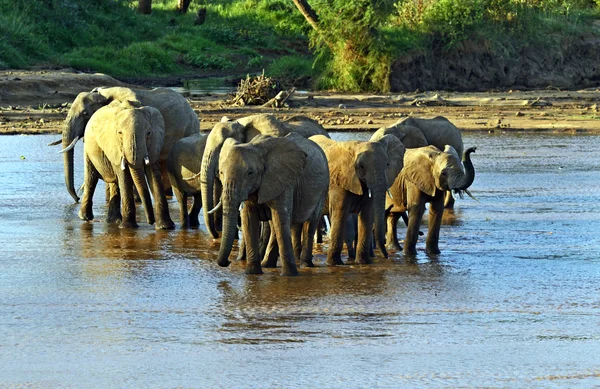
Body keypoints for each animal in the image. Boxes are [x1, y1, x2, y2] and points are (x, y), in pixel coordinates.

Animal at [78, 98, 175, 229]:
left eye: (148, 133)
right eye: (120, 133)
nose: (151, 221)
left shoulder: (154, 144)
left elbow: (153, 175)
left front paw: (166, 227)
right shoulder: (114, 145)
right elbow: (124, 176)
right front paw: (128, 227)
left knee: (114, 182)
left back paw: (114, 221)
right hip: (88, 148)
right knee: (91, 179)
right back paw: (85, 217)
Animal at [211, 133, 330, 276]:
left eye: (250, 173)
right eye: (221, 172)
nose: (228, 262)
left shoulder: (284, 181)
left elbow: (281, 220)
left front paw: (289, 275)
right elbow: (249, 221)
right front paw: (252, 273)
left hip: (323, 187)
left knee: (309, 223)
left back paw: (306, 265)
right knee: (275, 226)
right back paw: (267, 265)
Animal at [310, 133, 404, 264]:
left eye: (387, 165)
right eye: (361, 166)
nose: (386, 256)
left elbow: (367, 214)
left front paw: (363, 262)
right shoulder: (338, 182)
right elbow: (340, 213)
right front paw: (334, 264)